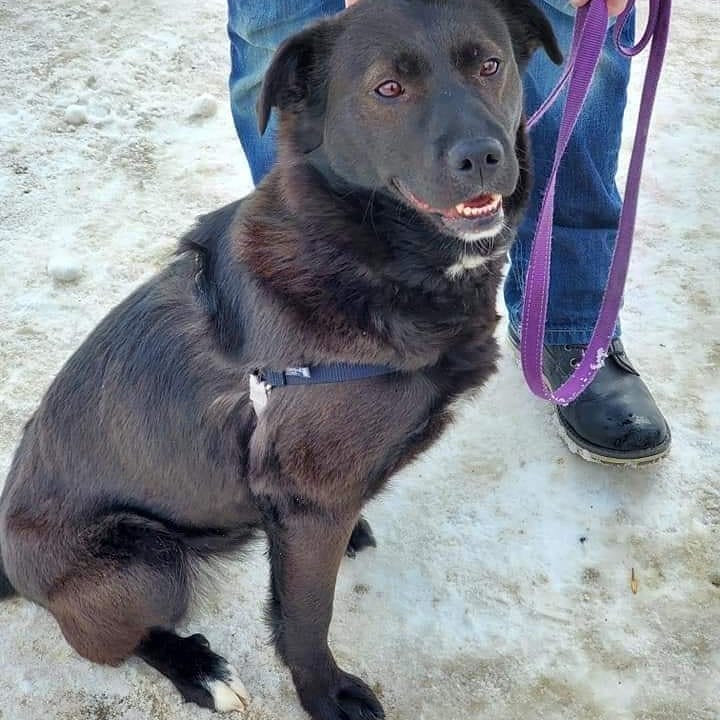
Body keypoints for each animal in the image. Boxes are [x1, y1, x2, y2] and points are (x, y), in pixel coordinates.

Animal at [0, 2, 560, 716]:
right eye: (388, 88)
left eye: (490, 65)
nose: (482, 156)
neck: (365, 255)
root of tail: (7, 557)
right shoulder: (311, 504)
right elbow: (305, 616)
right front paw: (323, 691)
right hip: (145, 562)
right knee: (115, 639)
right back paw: (198, 668)